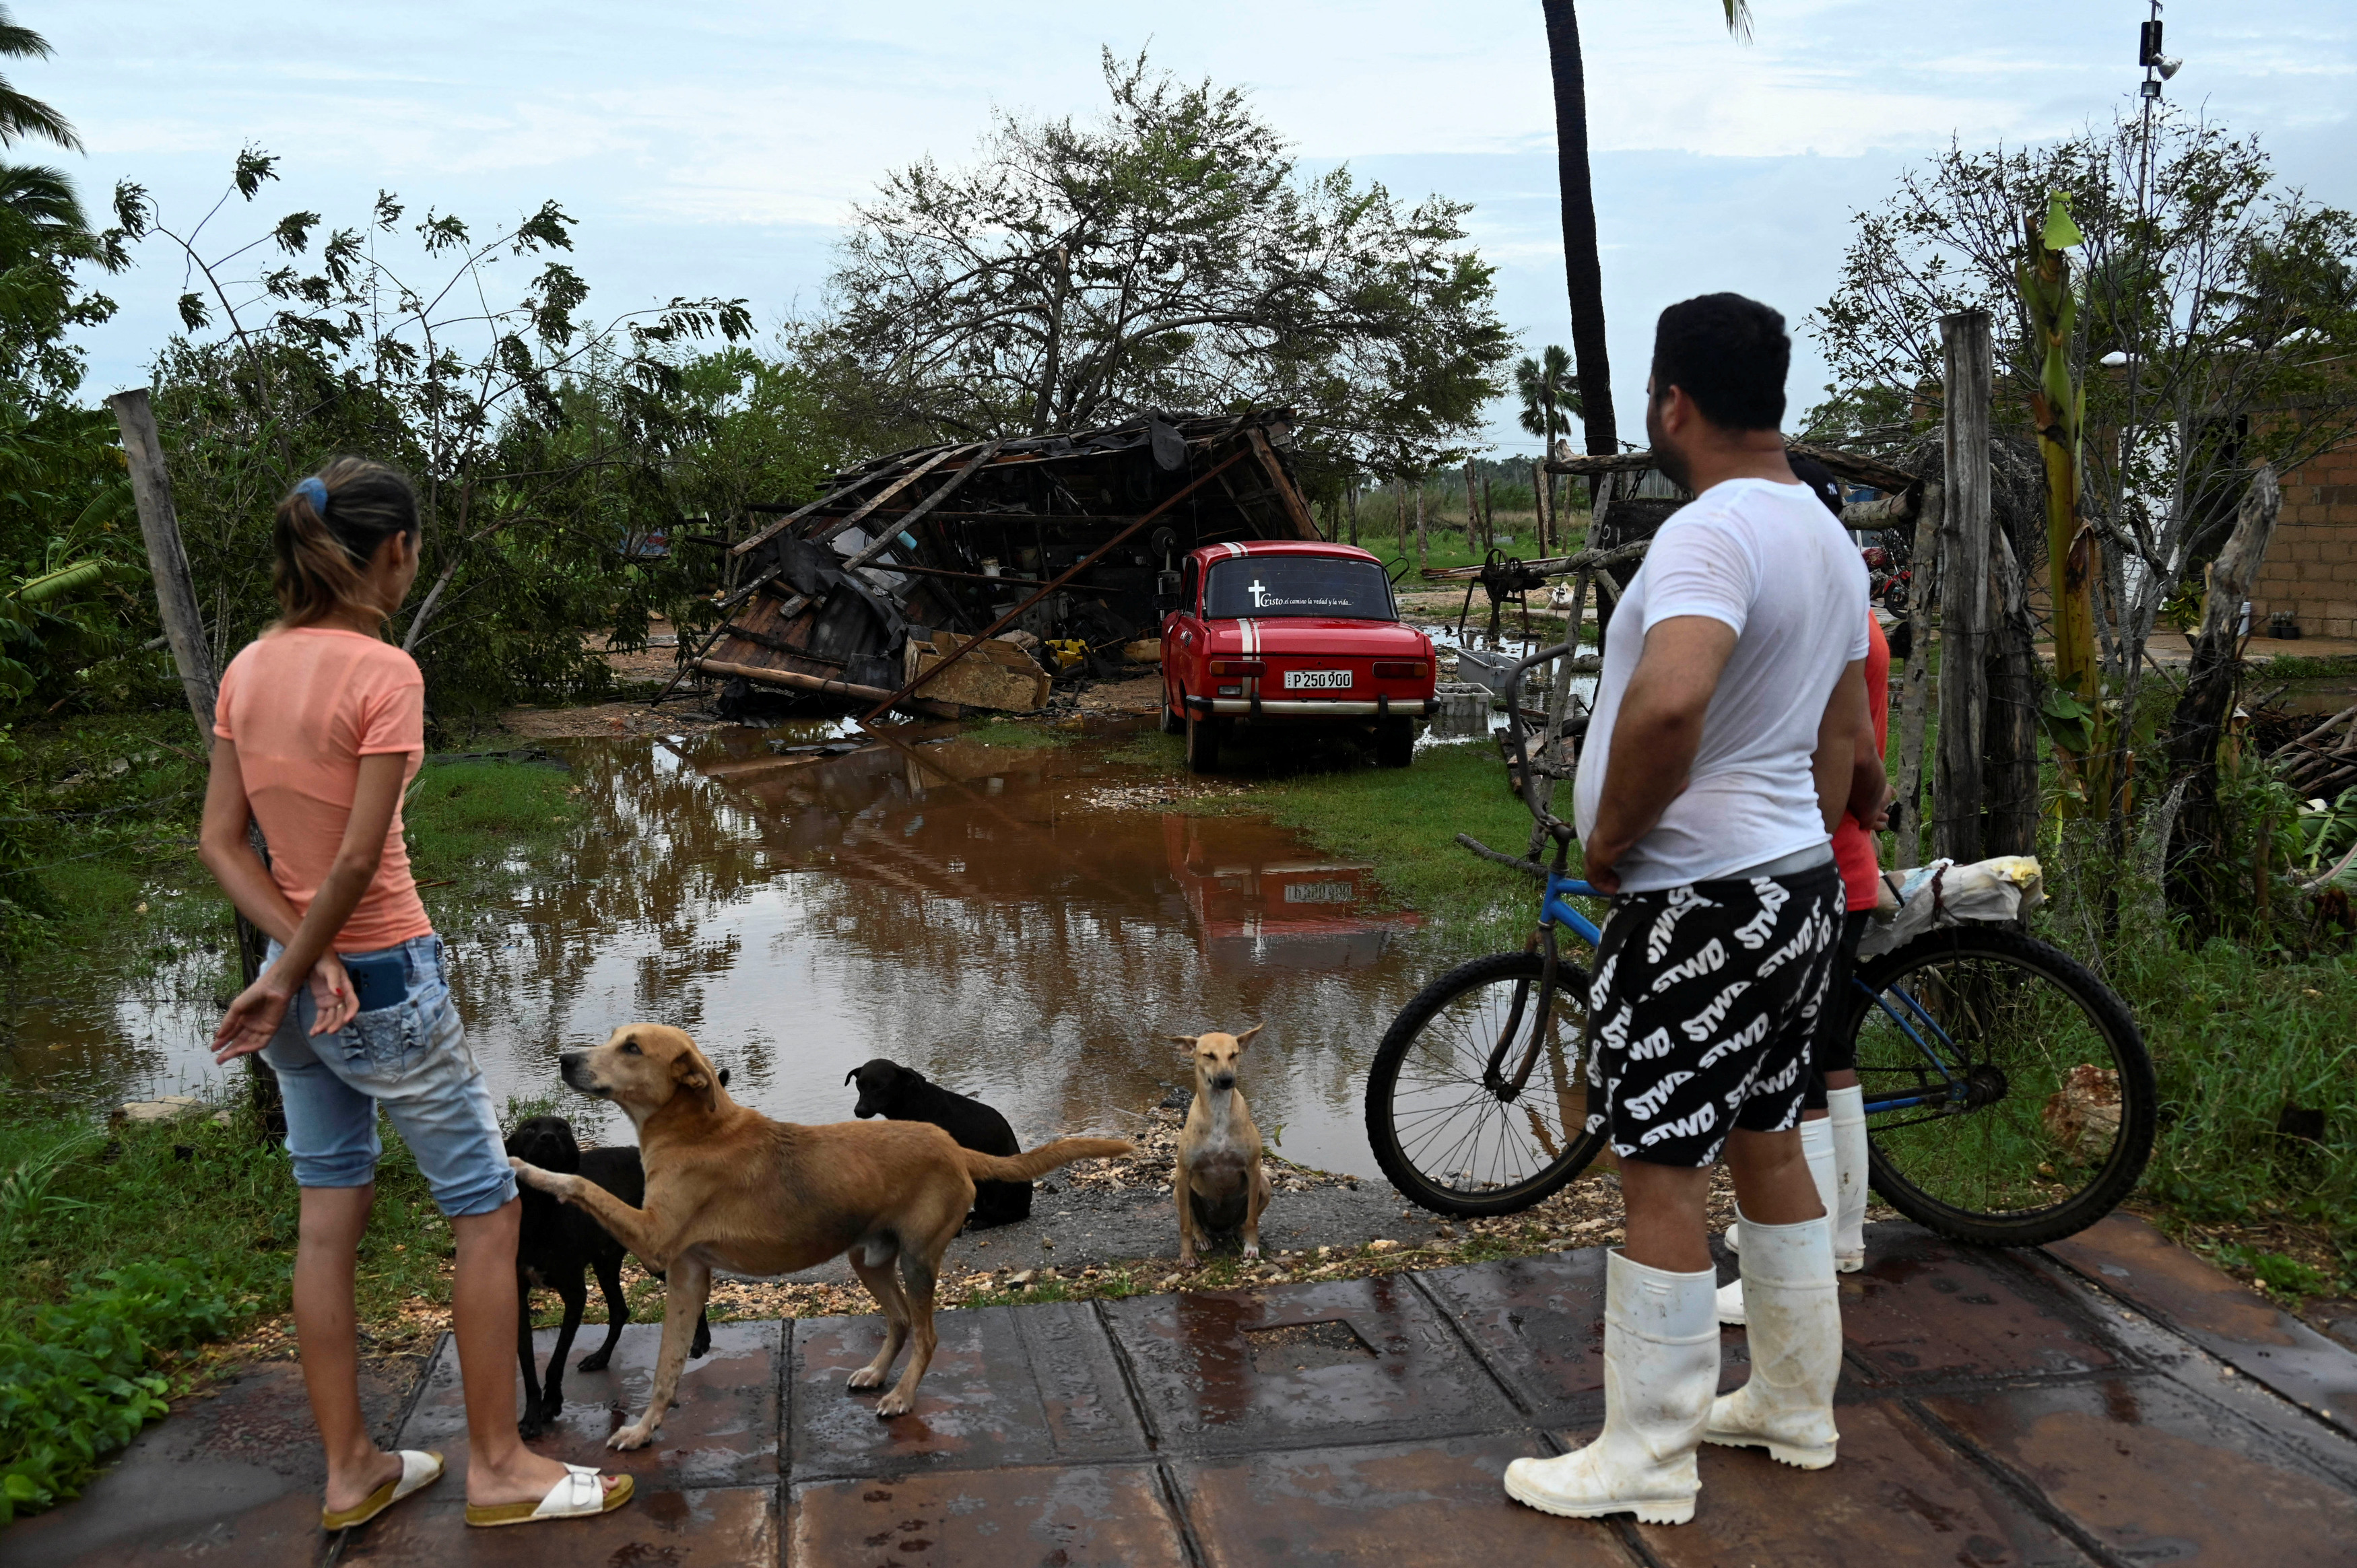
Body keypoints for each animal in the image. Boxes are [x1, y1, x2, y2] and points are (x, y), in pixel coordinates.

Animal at [504, 1113, 707, 1433]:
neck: (540, 1215)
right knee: (620, 1310)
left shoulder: (575, 1295)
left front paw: (552, 1404)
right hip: (606, 1264)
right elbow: (528, 1367)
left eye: (563, 1128)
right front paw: (532, 1415)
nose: (549, 1138)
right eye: (529, 1129)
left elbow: (556, 1360)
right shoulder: (519, 1298)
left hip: (651, 1256)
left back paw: (701, 1340)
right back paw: (601, 1357)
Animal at [1164, 1027, 1273, 1273]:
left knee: (1245, 1221)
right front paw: (1187, 1255)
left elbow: (1253, 1218)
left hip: (1265, 1184)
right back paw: (1202, 1238)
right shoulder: (1183, 1173)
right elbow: (1185, 1225)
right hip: (1179, 1192)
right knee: (1195, 1223)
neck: (1219, 1112)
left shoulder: (1253, 1170)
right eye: (1209, 1055)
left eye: (1234, 1054)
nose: (1227, 1080)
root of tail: (1220, 1227)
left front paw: (1252, 1248)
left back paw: (1241, 1234)